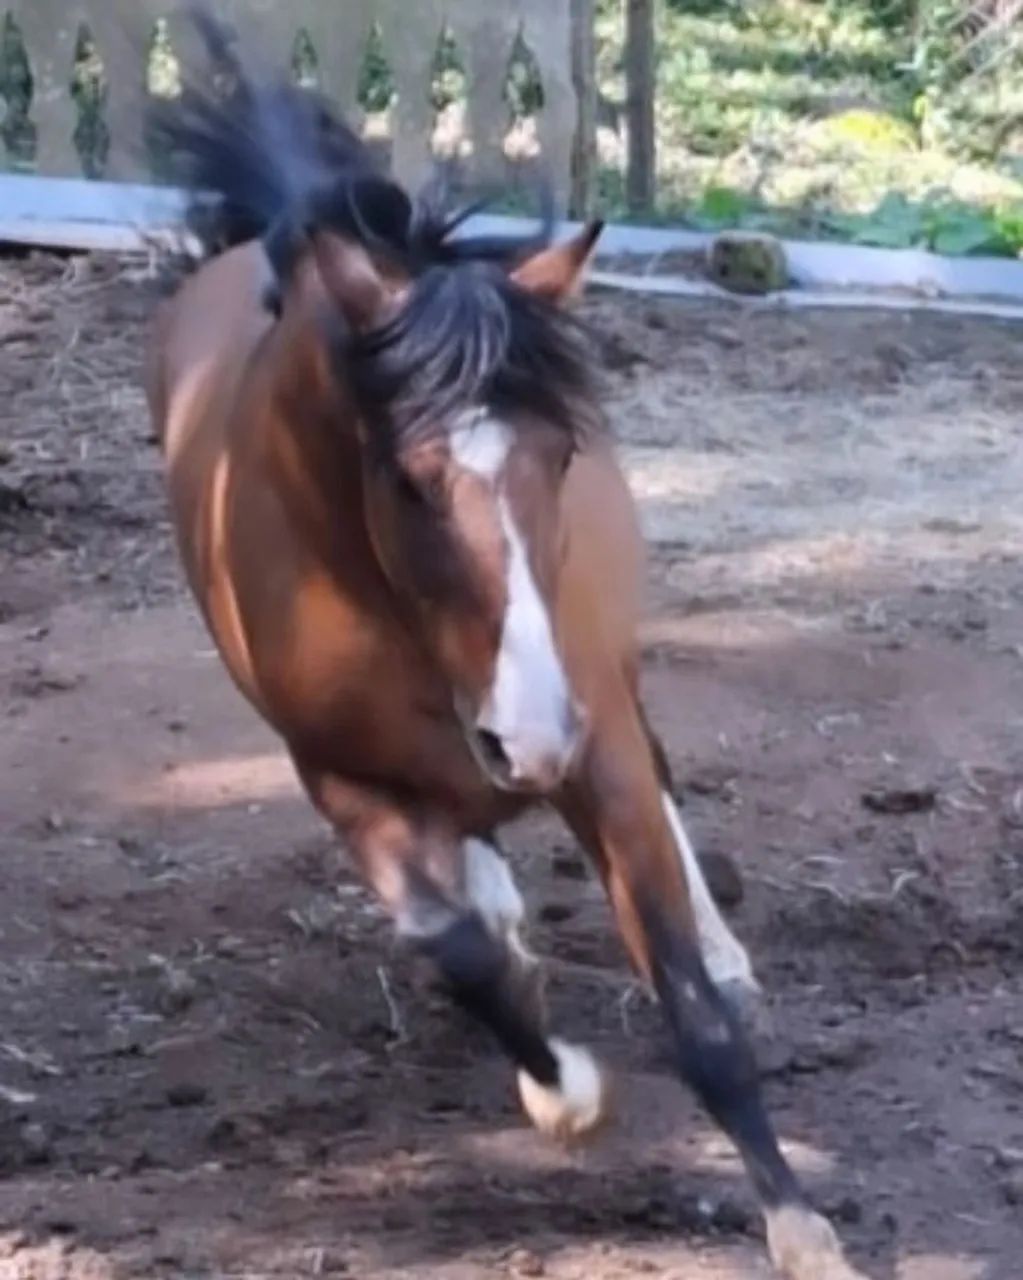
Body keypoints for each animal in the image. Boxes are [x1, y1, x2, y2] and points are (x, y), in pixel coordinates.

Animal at [144, 18, 865, 1280]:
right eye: (407, 479)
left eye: (561, 454)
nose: (524, 735)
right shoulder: (341, 775)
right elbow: (457, 950)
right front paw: (563, 1087)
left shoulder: (597, 740)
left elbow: (694, 1007)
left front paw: (801, 1224)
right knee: (469, 870)